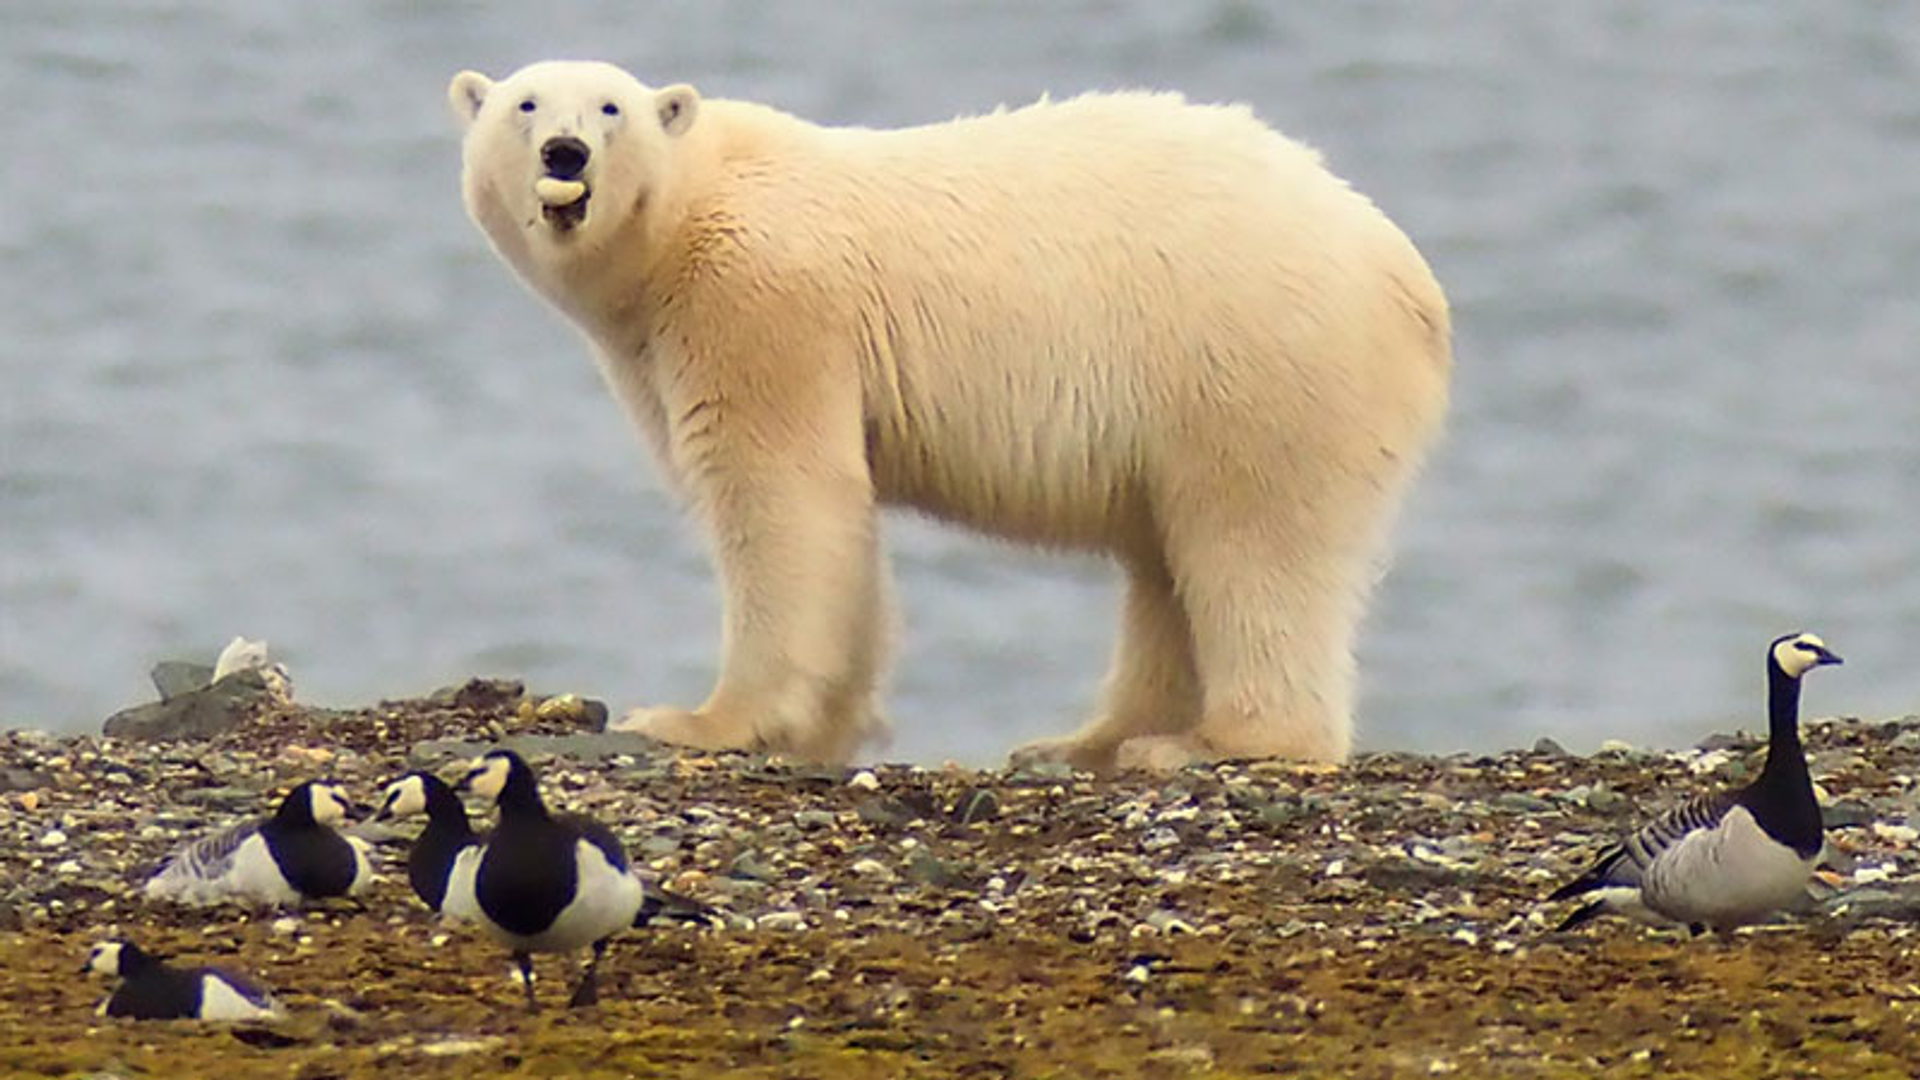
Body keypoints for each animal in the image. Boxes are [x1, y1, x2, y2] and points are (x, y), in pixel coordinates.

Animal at [445, 61, 1443, 764]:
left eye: (609, 107)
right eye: (525, 104)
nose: (565, 153)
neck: (693, 209)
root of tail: (1407, 275)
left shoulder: (759, 301)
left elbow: (779, 490)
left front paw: (700, 719)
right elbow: (842, 524)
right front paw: (827, 727)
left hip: (1249, 359)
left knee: (1252, 539)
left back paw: (1212, 742)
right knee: (1167, 556)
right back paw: (1088, 740)